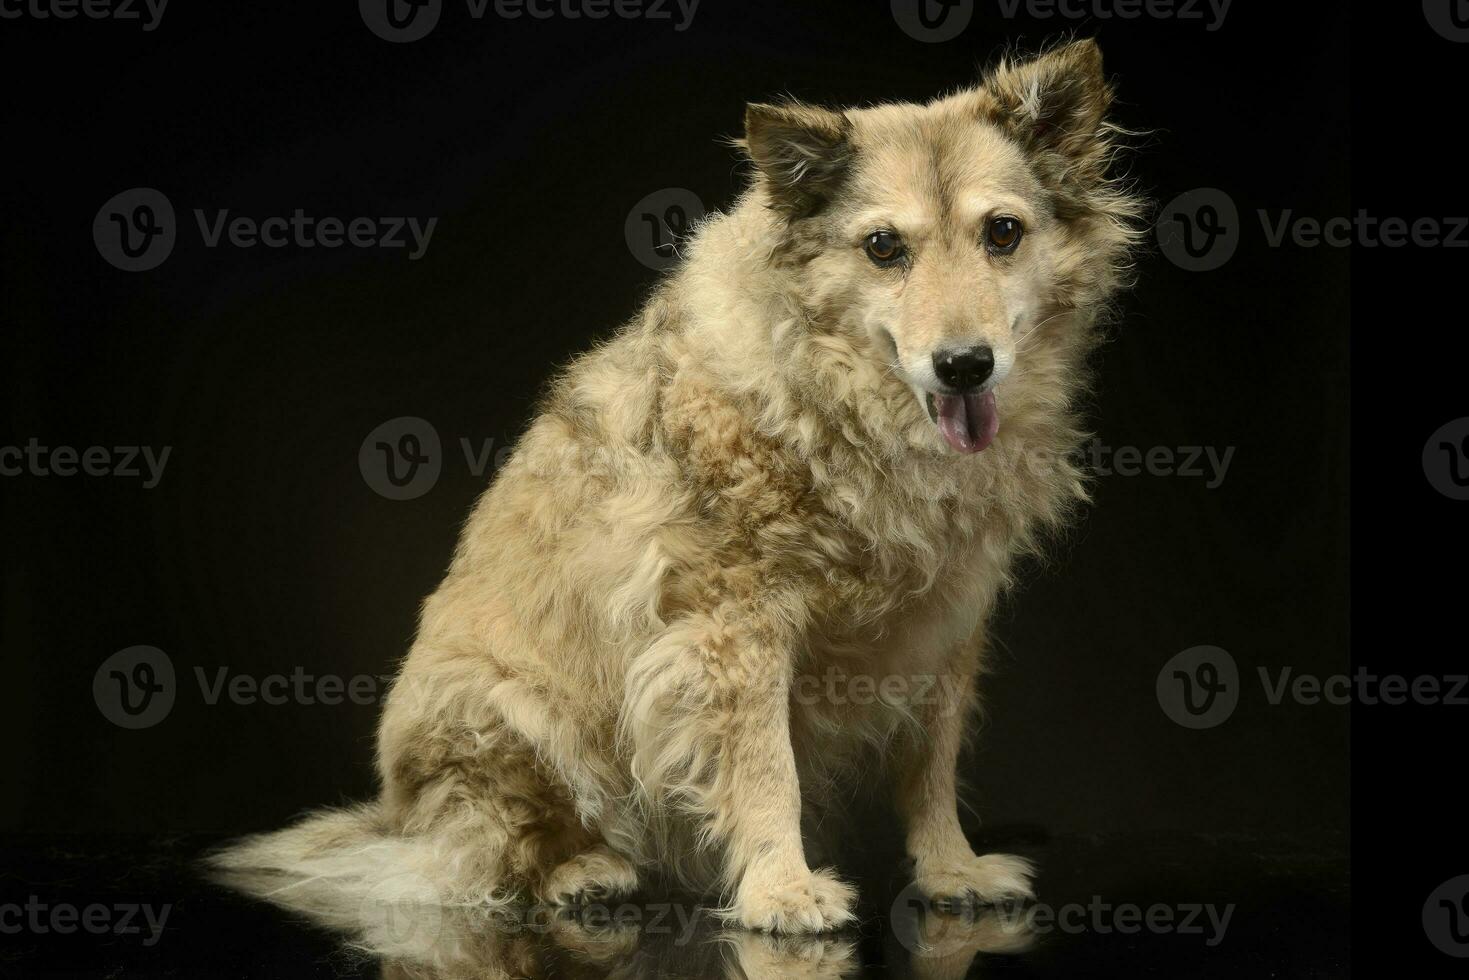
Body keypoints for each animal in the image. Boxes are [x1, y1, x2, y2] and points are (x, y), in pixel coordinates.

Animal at [210, 40, 1145, 934]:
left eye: (1002, 233)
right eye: (885, 248)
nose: (963, 365)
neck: (849, 408)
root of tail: (397, 819)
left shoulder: (947, 625)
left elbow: (933, 765)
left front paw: (950, 870)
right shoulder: (736, 627)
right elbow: (766, 770)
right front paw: (781, 892)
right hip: (507, 713)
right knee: (486, 854)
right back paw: (584, 874)